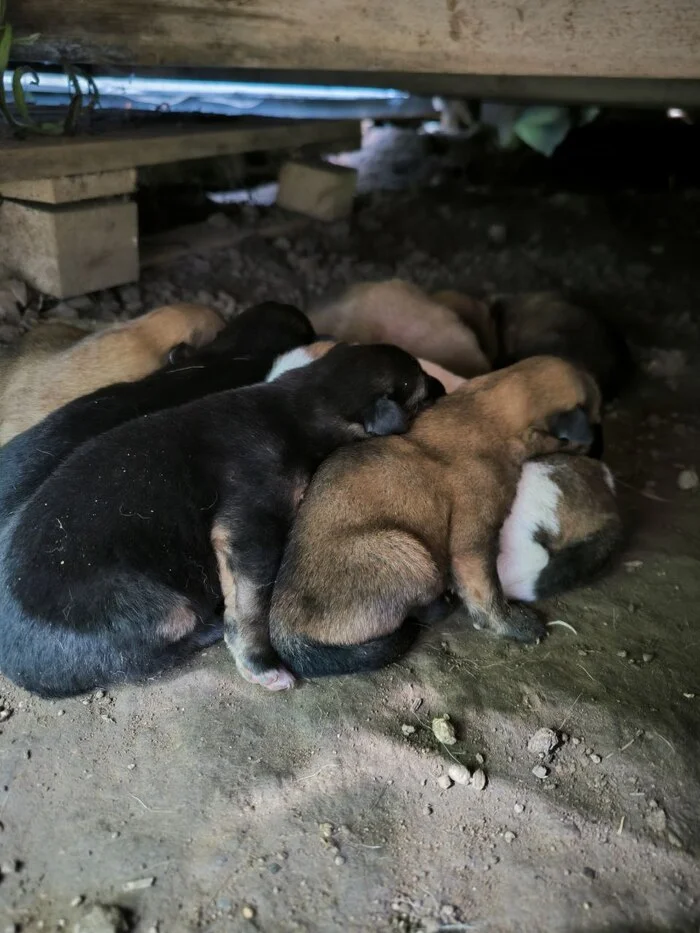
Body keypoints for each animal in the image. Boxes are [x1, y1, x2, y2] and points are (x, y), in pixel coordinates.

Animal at [0, 332, 440, 696]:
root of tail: (20, 670)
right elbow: (251, 601)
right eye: (421, 387)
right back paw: (207, 629)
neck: (306, 397)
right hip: (158, 609)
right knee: (138, 660)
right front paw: (261, 665)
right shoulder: (250, 520)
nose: (441, 385)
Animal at [268, 354, 600, 672]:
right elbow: (488, 592)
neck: (485, 408)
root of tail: (285, 632)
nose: (600, 454)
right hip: (412, 555)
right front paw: (512, 624)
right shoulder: (472, 544)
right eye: (597, 424)